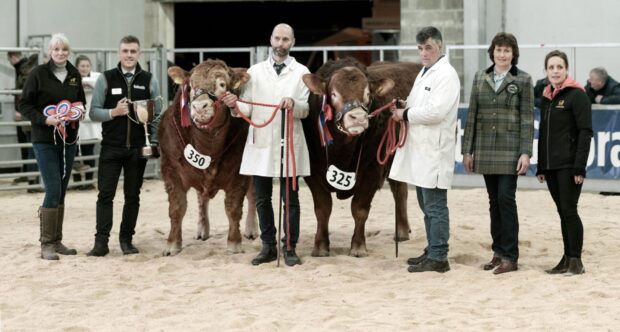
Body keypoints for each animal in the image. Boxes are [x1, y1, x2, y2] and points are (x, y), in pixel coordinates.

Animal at [160, 59, 260, 254]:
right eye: (191, 86)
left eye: (221, 85)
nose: (199, 107)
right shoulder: (170, 169)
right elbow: (177, 208)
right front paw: (172, 244)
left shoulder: (238, 172)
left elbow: (233, 207)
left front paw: (234, 242)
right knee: (202, 198)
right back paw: (202, 229)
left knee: (252, 195)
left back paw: (251, 229)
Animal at [302, 57, 424, 256]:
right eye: (333, 94)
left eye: (367, 94)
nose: (358, 117)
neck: (342, 149)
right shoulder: (313, 172)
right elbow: (322, 209)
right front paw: (320, 246)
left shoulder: (372, 170)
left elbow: (360, 209)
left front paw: (358, 246)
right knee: (400, 189)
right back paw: (402, 230)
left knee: (400, 192)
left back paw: (401, 231)